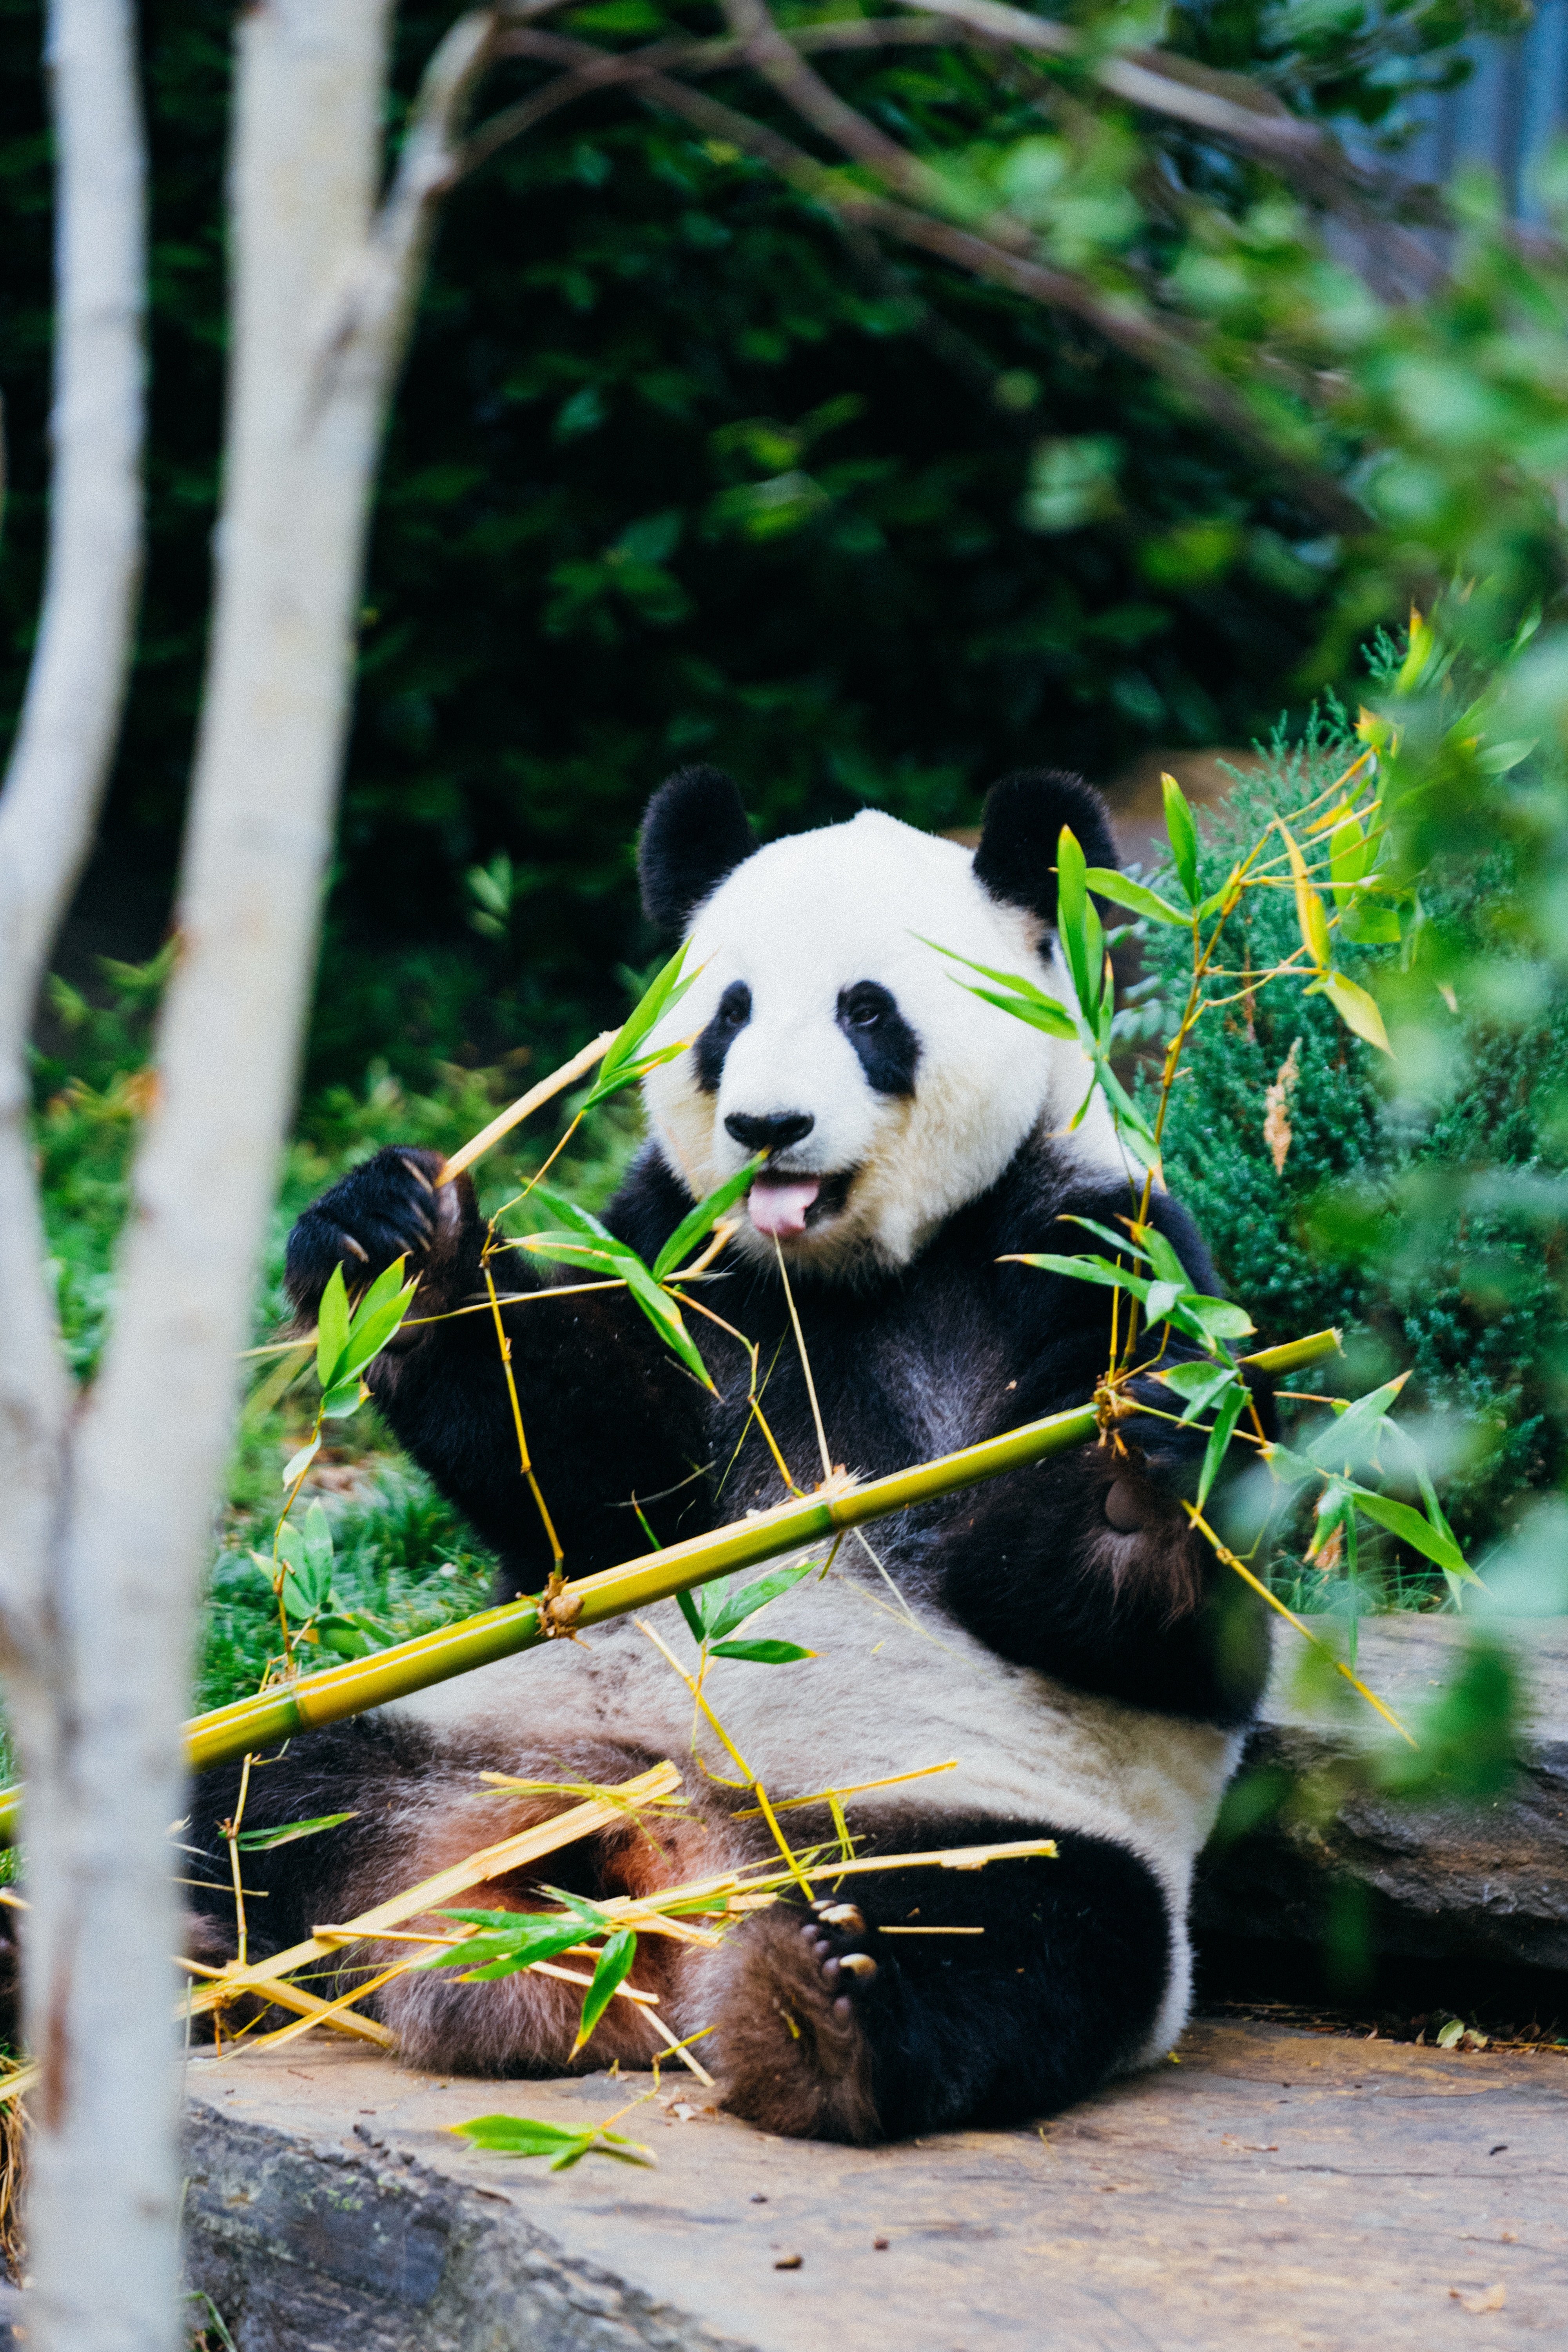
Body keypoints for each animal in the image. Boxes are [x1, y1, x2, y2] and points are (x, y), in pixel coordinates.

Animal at [190, 762, 1269, 2145]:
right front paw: (397, 1244)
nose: (767, 1126)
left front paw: (1131, 1466)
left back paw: (827, 2009)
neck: (845, 1272)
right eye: (730, 1011)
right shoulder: (683, 1257)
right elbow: (600, 1489)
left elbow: (1166, 1624)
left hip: (978, 1820)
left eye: (868, 1010)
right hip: (443, 1735)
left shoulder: (1097, 1241)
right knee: (254, 1806)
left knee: (1029, 1934)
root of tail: (647, 1876)